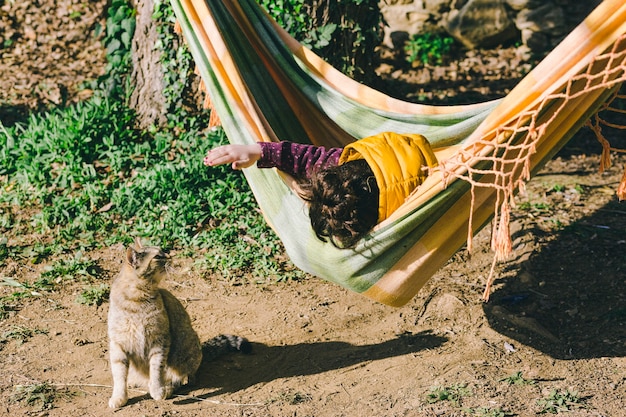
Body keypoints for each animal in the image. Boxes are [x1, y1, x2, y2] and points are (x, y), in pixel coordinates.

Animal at [106, 237, 249, 406]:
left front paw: (158, 390)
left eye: (163, 252)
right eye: (158, 256)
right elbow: (119, 376)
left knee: (184, 379)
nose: (170, 257)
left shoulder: (160, 340)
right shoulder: (118, 344)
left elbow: (156, 370)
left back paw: (167, 389)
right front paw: (119, 398)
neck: (137, 300)